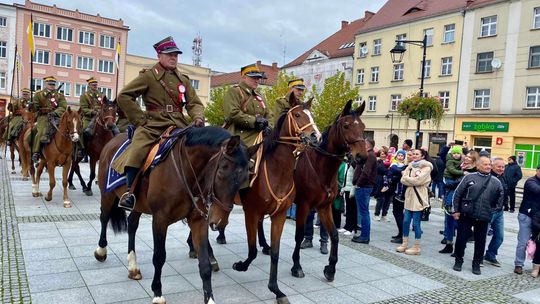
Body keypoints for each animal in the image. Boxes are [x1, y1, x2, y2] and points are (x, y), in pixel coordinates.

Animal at [95, 126, 255, 304]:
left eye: (245, 178)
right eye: (221, 172)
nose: (220, 221)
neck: (188, 172)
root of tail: (112, 140)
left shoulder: (199, 221)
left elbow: (204, 263)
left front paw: (210, 298)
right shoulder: (160, 219)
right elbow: (159, 257)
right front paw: (157, 292)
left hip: (138, 204)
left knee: (132, 224)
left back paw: (133, 267)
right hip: (107, 194)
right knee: (104, 218)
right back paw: (101, 250)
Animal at [232, 102, 320, 304]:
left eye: (311, 114)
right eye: (297, 115)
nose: (316, 136)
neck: (277, 172)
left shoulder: (279, 215)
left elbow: (276, 253)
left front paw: (276, 289)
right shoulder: (251, 212)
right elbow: (252, 250)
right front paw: (241, 266)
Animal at [292, 101, 368, 282]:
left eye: (363, 126)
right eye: (346, 125)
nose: (362, 156)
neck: (320, 169)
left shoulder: (324, 207)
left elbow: (334, 235)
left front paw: (331, 268)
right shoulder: (303, 206)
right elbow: (299, 235)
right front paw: (296, 266)